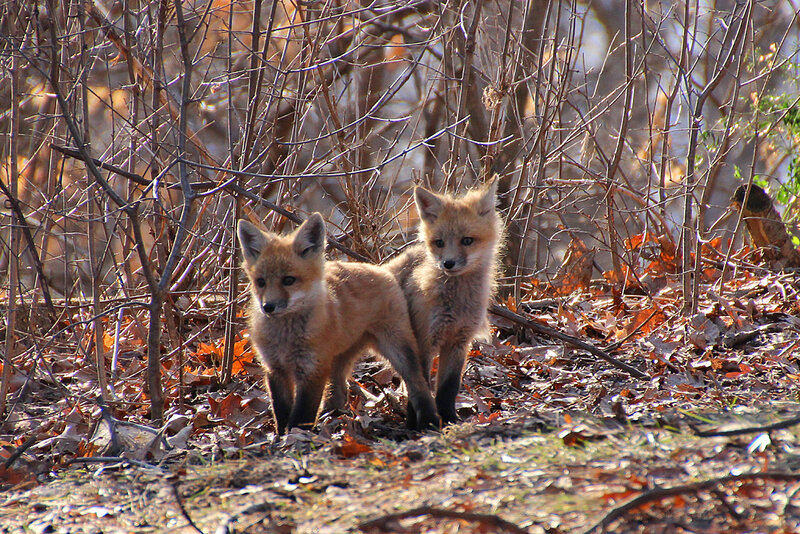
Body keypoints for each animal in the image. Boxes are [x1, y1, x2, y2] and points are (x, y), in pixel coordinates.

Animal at [237, 213, 440, 434]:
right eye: (261, 282)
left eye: (289, 280)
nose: (268, 307)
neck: (286, 338)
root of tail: (380, 269)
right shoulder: (275, 369)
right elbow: (281, 412)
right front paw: (282, 436)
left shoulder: (312, 369)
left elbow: (302, 415)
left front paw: (297, 436)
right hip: (338, 358)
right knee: (339, 393)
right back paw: (332, 416)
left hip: (398, 349)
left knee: (418, 383)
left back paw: (429, 422)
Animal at [386, 180, 502, 425]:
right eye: (439, 243)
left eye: (467, 240)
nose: (448, 263)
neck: (456, 305)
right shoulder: (423, 341)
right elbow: (419, 385)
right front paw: (418, 424)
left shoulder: (459, 342)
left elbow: (448, 387)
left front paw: (448, 418)